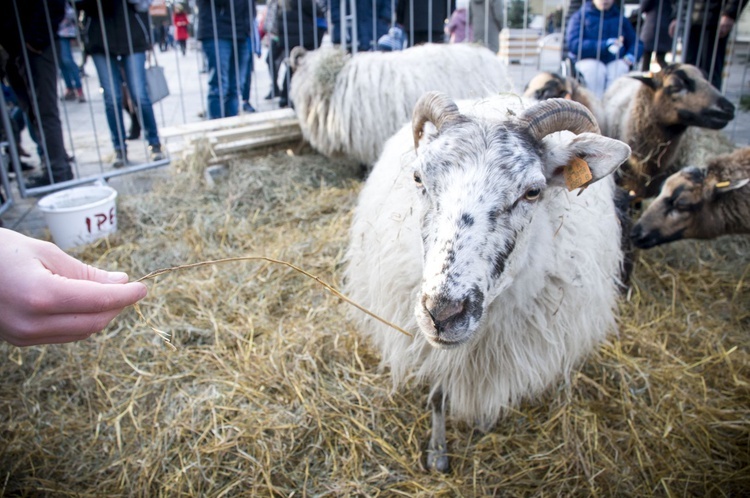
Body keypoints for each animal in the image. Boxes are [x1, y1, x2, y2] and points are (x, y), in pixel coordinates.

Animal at [346, 92, 636, 470]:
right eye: (418, 178)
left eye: (533, 191)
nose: (442, 313)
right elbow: (438, 396)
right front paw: (437, 452)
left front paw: (483, 423)